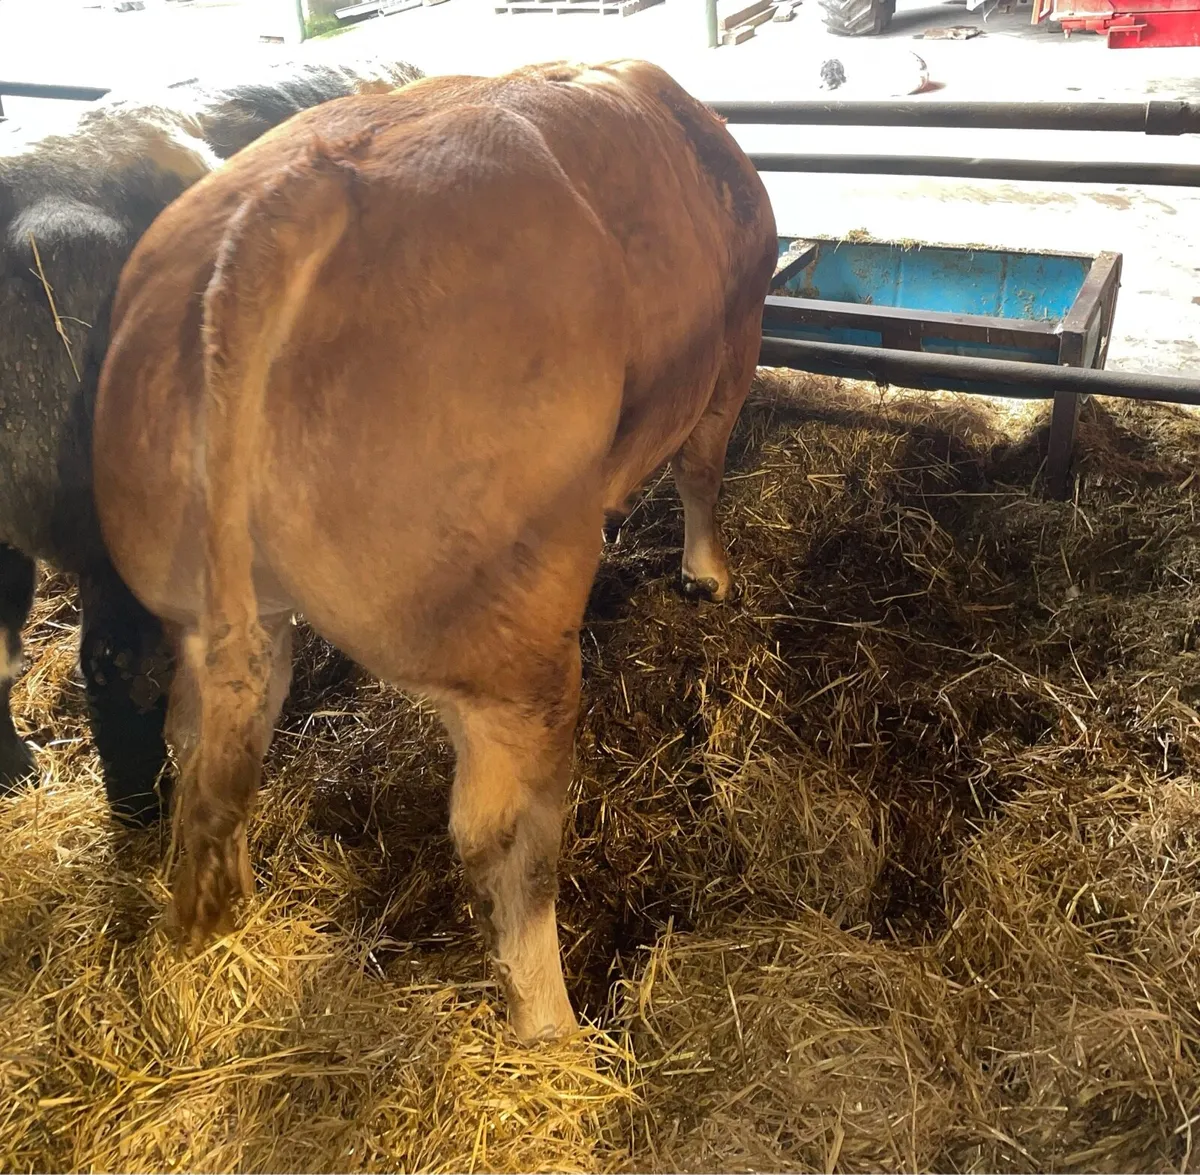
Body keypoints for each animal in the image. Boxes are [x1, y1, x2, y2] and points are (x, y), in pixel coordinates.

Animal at [93, 60, 776, 1042]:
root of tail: (294, 195)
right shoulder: (732, 349)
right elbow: (703, 469)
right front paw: (709, 576)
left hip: (214, 609)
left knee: (206, 738)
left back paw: (242, 915)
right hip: (515, 648)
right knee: (506, 837)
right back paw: (554, 1028)